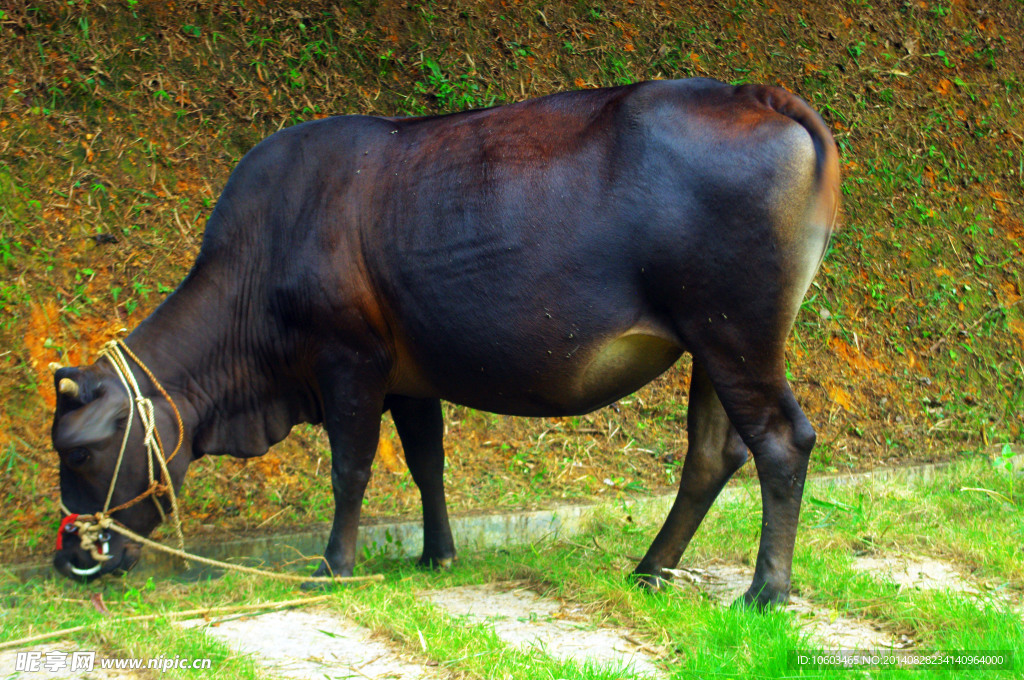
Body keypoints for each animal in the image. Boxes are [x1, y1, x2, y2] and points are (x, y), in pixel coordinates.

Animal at [49, 78, 839, 606]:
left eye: (79, 452)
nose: (72, 558)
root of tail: (756, 94)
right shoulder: (407, 375)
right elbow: (428, 463)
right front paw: (438, 557)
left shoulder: (349, 362)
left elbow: (351, 470)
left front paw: (335, 565)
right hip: (715, 346)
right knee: (712, 453)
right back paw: (649, 569)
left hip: (736, 333)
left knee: (781, 441)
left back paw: (765, 592)